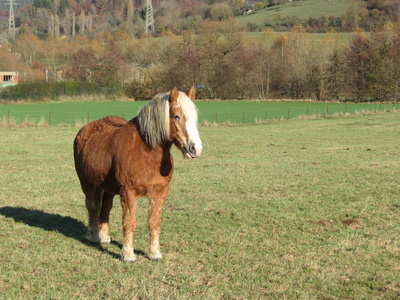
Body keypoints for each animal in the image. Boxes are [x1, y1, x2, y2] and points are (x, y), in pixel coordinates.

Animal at [73, 87, 202, 262]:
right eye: (176, 116)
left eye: (195, 116)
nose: (196, 148)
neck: (146, 152)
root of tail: (85, 129)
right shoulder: (128, 192)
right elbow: (129, 222)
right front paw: (128, 254)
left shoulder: (160, 192)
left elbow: (154, 222)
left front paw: (154, 253)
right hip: (86, 182)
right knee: (92, 205)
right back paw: (94, 236)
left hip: (108, 186)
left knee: (105, 206)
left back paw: (104, 237)